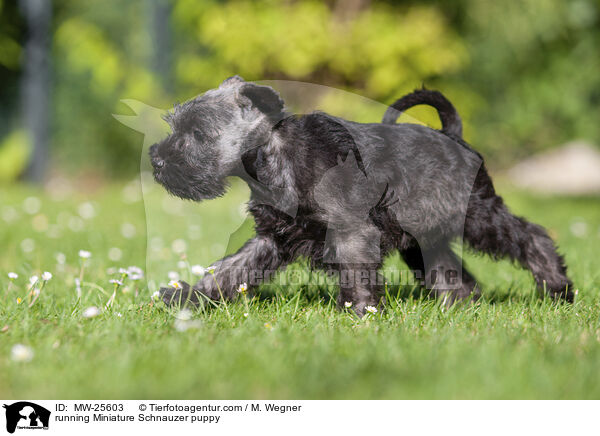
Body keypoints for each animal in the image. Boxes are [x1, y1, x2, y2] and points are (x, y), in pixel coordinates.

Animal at [150, 76, 572, 316]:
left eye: (198, 133)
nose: (156, 159)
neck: (281, 156)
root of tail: (453, 135)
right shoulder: (270, 238)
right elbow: (228, 271)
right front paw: (188, 299)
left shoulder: (352, 231)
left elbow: (356, 274)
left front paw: (362, 314)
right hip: (422, 238)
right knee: (451, 271)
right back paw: (459, 308)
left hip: (479, 214)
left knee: (531, 236)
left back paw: (557, 288)